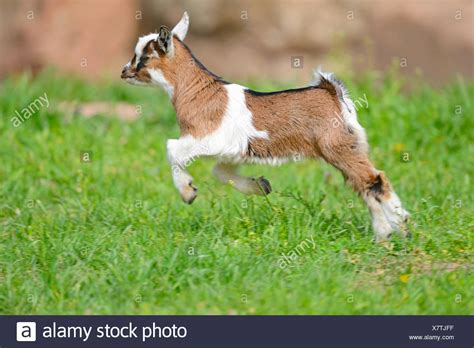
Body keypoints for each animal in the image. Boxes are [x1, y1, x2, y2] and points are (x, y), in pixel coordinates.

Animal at [120, 12, 410, 241]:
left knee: (374, 179)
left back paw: (399, 225)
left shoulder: (205, 137)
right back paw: (387, 232)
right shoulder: (232, 151)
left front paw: (188, 192)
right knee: (364, 185)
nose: (124, 72)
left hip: (337, 147)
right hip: (348, 147)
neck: (197, 91)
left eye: (143, 57)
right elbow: (220, 172)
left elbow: (172, 149)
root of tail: (333, 93)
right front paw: (260, 186)